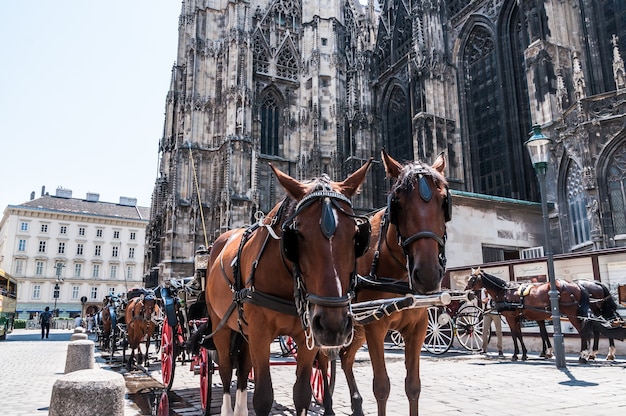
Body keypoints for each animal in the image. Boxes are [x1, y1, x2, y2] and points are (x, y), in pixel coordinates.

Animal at [200, 160, 370, 416]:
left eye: (356, 236)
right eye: (296, 235)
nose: (334, 326)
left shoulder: (306, 337)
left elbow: (302, 394)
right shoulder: (260, 333)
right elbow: (263, 397)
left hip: (244, 329)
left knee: (243, 369)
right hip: (220, 324)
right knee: (226, 369)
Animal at [336, 151, 448, 416]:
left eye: (444, 201)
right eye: (397, 203)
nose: (428, 274)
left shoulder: (418, 328)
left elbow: (413, 386)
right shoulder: (376, 328)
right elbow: (381, 387)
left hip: (357, 329)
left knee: (345, 357)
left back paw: (356, 403)